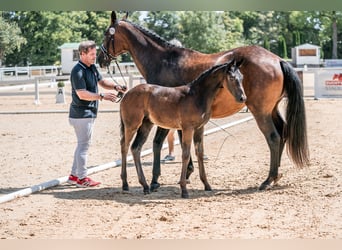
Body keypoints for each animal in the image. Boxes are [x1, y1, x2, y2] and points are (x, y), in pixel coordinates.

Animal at [120, 61, 246, 198]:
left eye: (242, 77)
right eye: (232, 78)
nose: (242, 98)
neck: (196, 96)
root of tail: (126, 94)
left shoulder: (199, 128)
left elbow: (199, 153)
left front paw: (206, 185)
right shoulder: (188, 128)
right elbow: (185, 154)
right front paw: (184, 189)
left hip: (146, 125)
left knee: (136, 148)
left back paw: (145, 186)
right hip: (131, 125)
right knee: (125, 147)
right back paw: (125, 184)